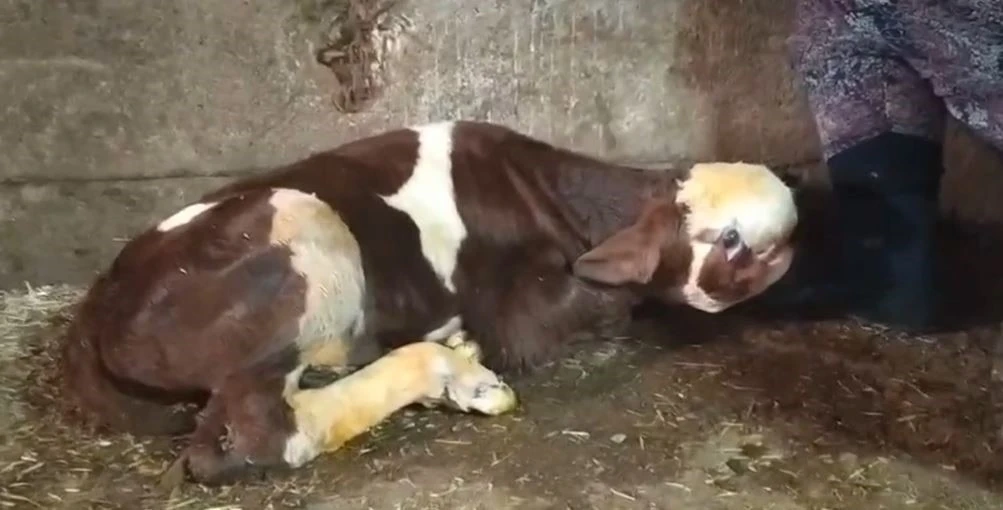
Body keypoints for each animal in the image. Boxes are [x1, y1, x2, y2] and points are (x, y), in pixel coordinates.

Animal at [58, 119, 794, 485]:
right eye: (730, 239)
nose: (788, 246)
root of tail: (96, 306)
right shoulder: (523, 312)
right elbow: (598, 308)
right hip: (303, 224)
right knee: (252, 436)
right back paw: (456, 374)